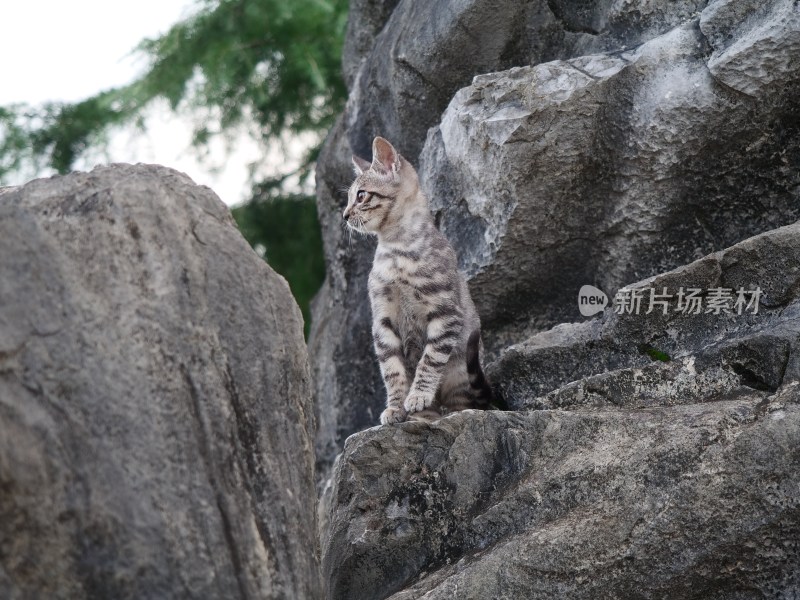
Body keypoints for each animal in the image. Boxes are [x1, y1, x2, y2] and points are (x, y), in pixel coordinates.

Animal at [340, 136, 490, 426]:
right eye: (349, 198)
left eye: (361, 196)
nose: (345, 215)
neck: (396, 249)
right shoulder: (382, 320)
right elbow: (392, 371)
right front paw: (396, 407)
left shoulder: (445, 312)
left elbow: (429, 360)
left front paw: (418, 395)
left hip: (462, 369)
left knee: (460, 402)